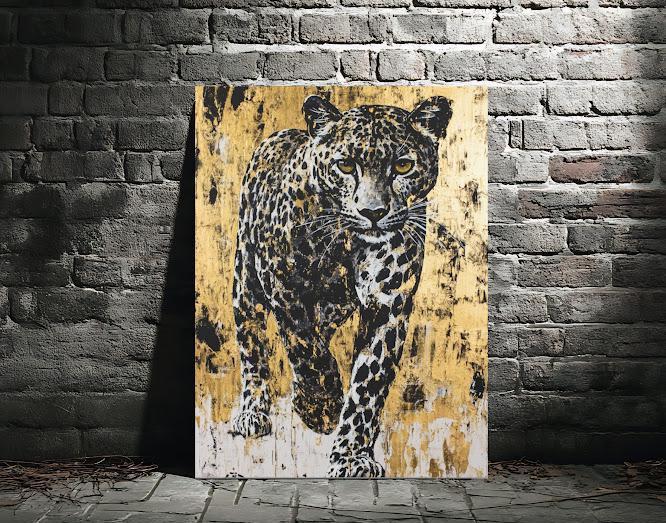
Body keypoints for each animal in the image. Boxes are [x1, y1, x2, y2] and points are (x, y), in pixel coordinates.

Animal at [230, 93, 453, 478]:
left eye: (403, 166)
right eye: (346, 165)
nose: (373, 213)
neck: (346, 243)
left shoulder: (388, 306)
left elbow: (368, 385)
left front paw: (351, 456)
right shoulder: (282, 286)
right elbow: (306, 348)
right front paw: (322, 407)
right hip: (246, 282)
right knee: (252, 345)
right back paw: (254, 411)